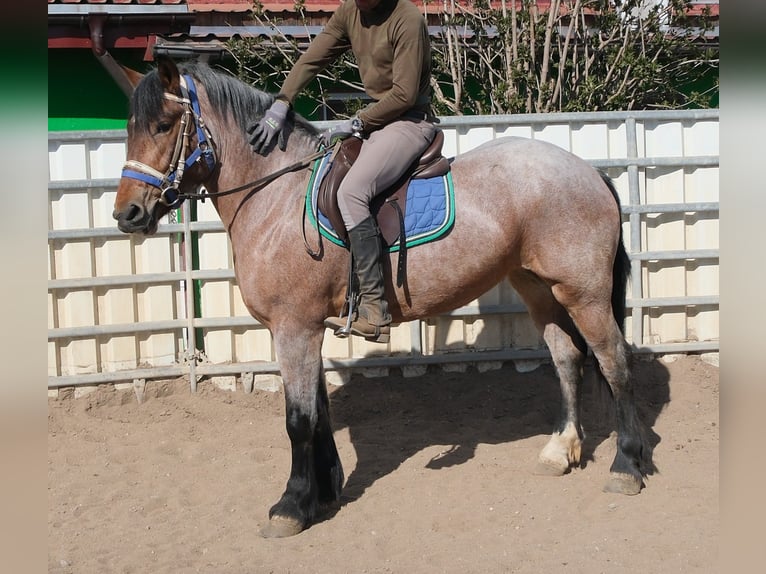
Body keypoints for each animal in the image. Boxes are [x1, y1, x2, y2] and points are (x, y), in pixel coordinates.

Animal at [113, 56, 651, 538]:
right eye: (130, 129)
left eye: (163, 125)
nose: (128, 215)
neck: (278, 197)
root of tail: (588, 171)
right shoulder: (308, 328)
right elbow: (320, 412)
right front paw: (324, 493)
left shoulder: (293, 328)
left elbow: (298, 420)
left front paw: (291, 506)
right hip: (538, 287)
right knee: (567, 357)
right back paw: (561, 450)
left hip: (584, 294)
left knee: (614, 362)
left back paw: (626, 465)